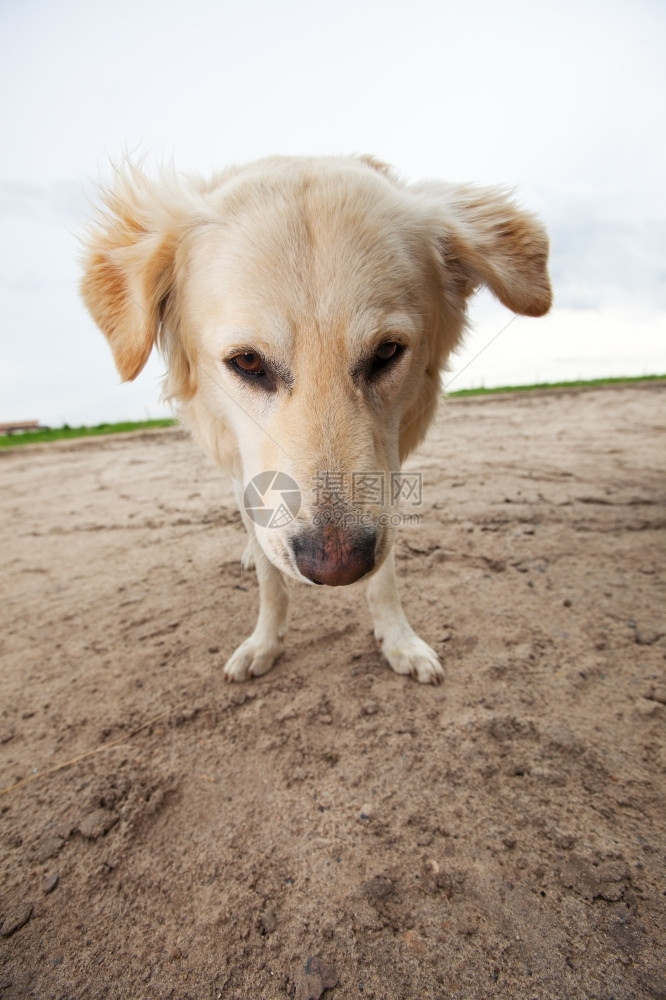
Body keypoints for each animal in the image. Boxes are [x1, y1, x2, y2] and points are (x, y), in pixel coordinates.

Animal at [81, 156, 548, 684]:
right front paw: (264, 643)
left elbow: (384, 575)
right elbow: (270, 579)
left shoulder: (387, 473)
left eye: (387, 352)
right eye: (247, 362)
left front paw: (399, 640)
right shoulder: (247, 476)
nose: (337, 569)